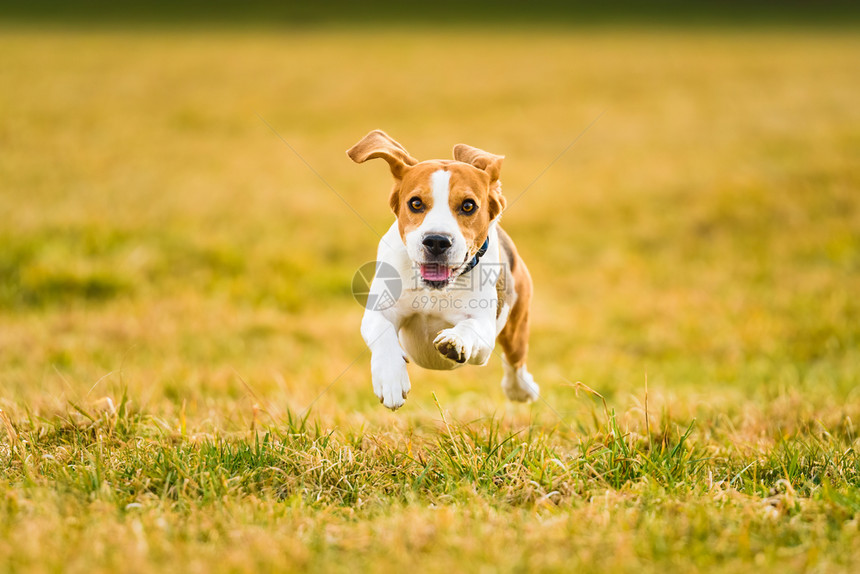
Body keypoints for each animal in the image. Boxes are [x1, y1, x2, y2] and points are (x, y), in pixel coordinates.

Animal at [348, 130, 536, 410]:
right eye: (415, 203)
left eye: (468, 206)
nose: (436, 240)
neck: (434, 290)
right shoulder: (379, 311)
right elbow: (382, 332)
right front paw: (391, 378)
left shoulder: (483, 332)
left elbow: (469, 328)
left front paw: (455, 341)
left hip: (516, 324)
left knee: (516, 361)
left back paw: (521, 389)